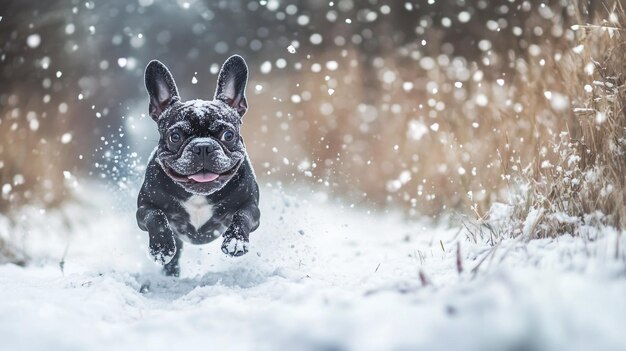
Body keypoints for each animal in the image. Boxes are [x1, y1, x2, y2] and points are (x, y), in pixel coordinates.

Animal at [136, 55, 260, 278]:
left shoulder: (252, 206)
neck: (198, 195)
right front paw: (161, 248)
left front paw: (235, 241)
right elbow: (156, 217)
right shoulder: (144, 208)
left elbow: (242, 215)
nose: (202, 147)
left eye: (228, 135)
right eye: (175, 136)